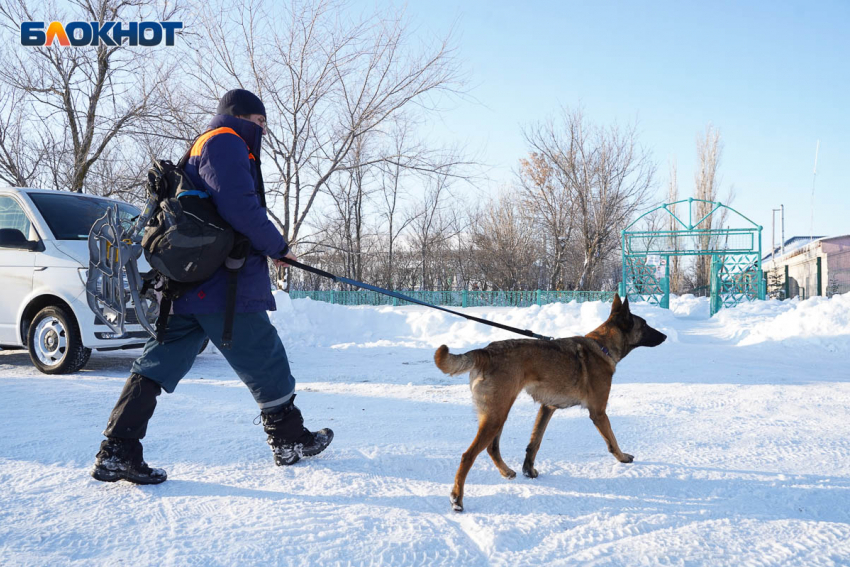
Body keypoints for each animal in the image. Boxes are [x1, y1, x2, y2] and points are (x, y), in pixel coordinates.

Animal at [434, 296, 664, 512]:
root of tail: (485, 351)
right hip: (496, 416)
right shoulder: (598, 412)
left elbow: (534, 443)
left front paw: (529, 470)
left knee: (492, 447)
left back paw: (506, 471)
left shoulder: (547, 408)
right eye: (644, 325)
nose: (665, 336)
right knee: (468, 456)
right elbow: (612, 440)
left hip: (498, 414)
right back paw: (457, 499)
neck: (602, 346)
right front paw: (622, 457)